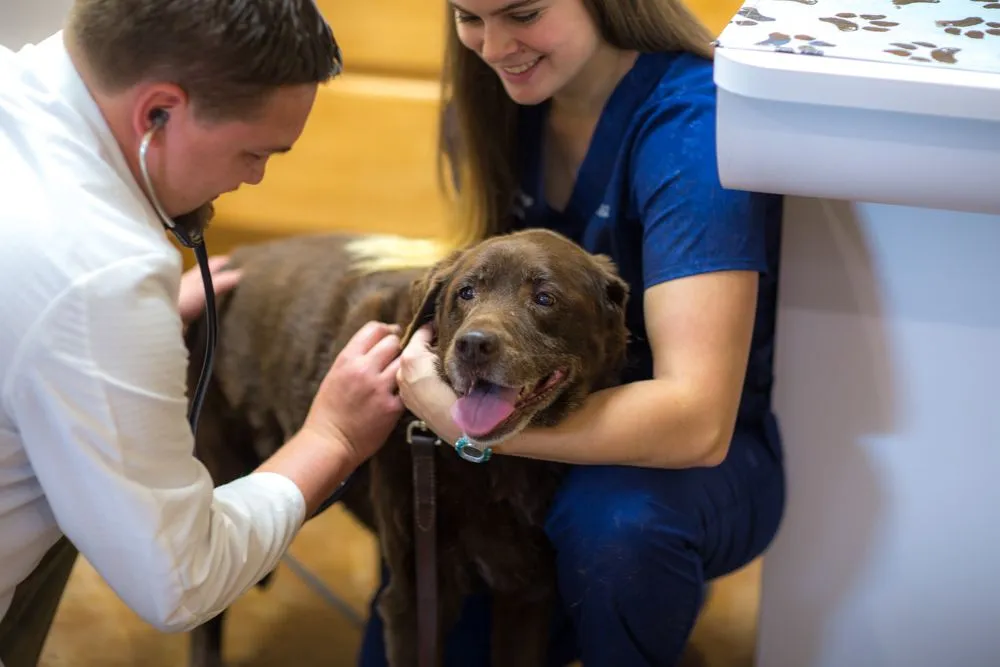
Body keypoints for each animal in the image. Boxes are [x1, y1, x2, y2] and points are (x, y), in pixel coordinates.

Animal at [184, 227, 628, 664]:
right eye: (466, 292)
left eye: (544, 298)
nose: (473, 345)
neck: (492, 466)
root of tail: (237, 257)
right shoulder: (415, 596)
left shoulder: (528, 592)